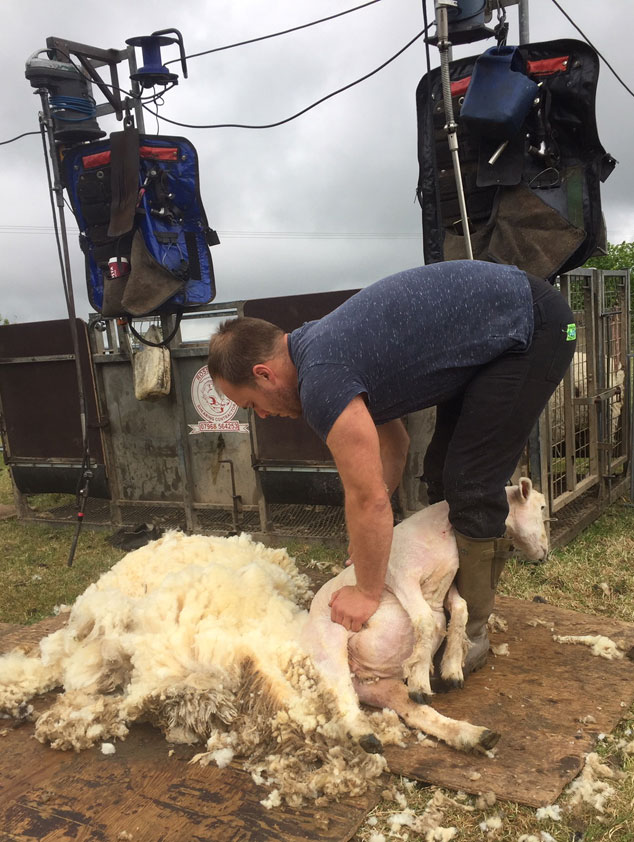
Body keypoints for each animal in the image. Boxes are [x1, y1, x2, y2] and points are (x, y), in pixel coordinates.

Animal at [0, 480, 544, 800]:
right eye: (539, 505)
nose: (542, 554)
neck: (438, 536)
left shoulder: (442, 591)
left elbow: (458, 611)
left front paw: (448, 666)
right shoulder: (400, 579)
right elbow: (427, 622)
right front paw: (424, 668)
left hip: (372, 686)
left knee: (414, 713)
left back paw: (471, 734)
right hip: (330, 651)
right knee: (341, 701)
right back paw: (368, 729)